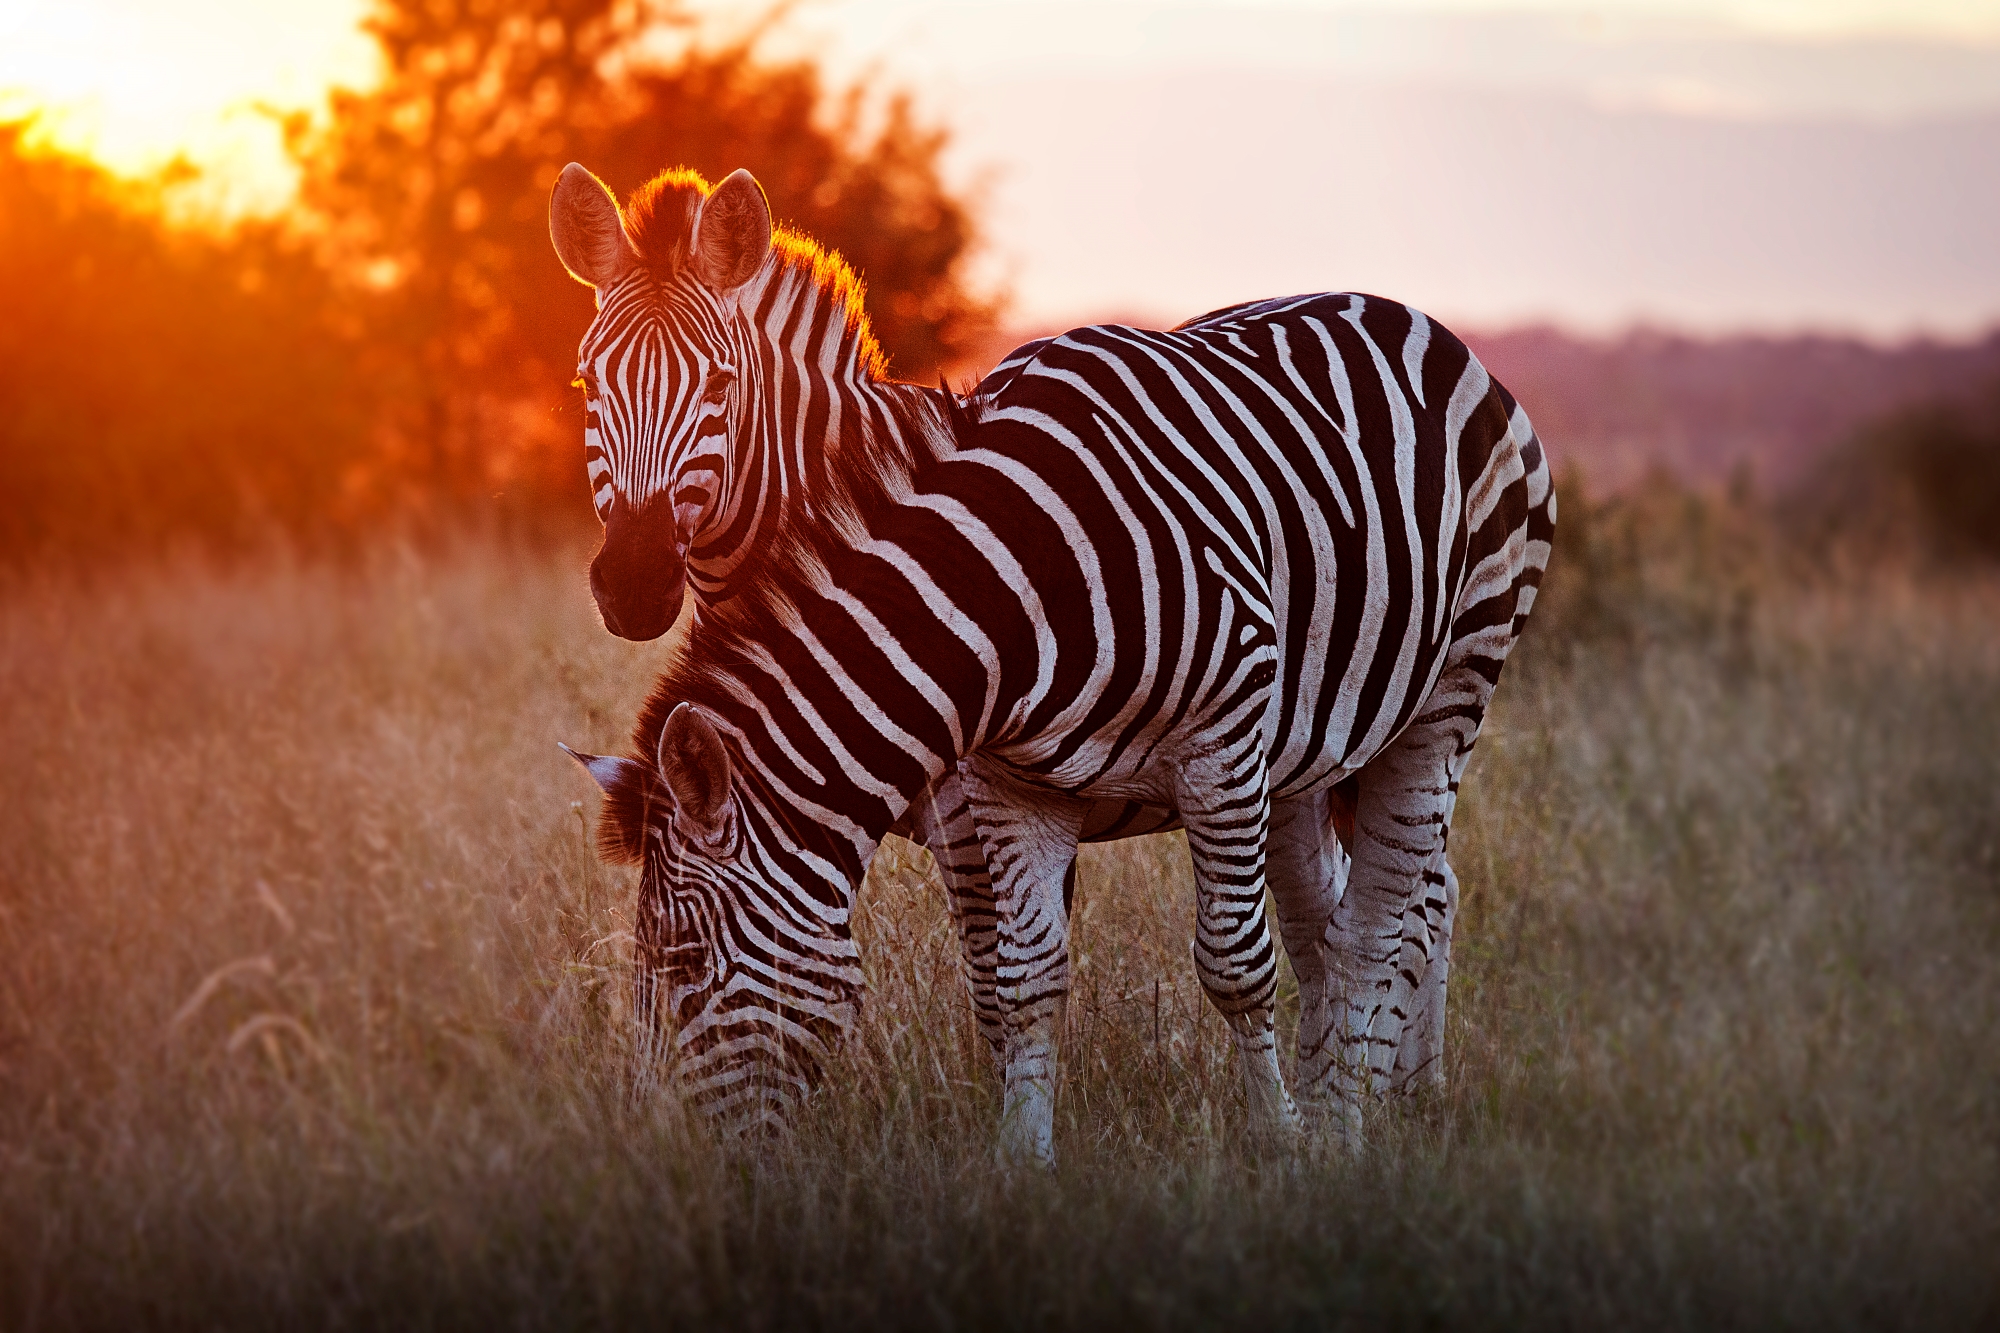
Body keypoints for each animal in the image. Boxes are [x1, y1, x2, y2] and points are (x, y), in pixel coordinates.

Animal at [556, 158, 1552, 1152]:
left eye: (719, 385)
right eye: (584, 383)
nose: (635, 581)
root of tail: (1392, 307)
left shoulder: (1137, 764)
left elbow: (1147, 969)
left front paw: (1270, 1143)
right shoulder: (1009, 781)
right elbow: (1023, 974)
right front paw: (1020, 1145)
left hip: (1444, 694)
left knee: (1400, 909)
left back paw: (1372, 1110)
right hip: (1318, 750)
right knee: (1353, 914)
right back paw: (1362, 1093)